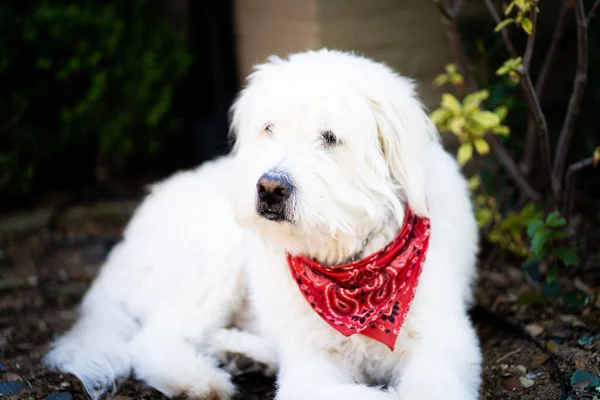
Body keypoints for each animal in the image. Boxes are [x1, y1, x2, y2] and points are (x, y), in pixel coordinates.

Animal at [44, 50, 480, 400]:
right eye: (269, 128)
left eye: (330, 138)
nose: (270, 188)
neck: (350, 269)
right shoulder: (310, 370)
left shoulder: (444, 341)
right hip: (212, 262)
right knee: (154, 340)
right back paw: (198, 379)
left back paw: (241, 354)